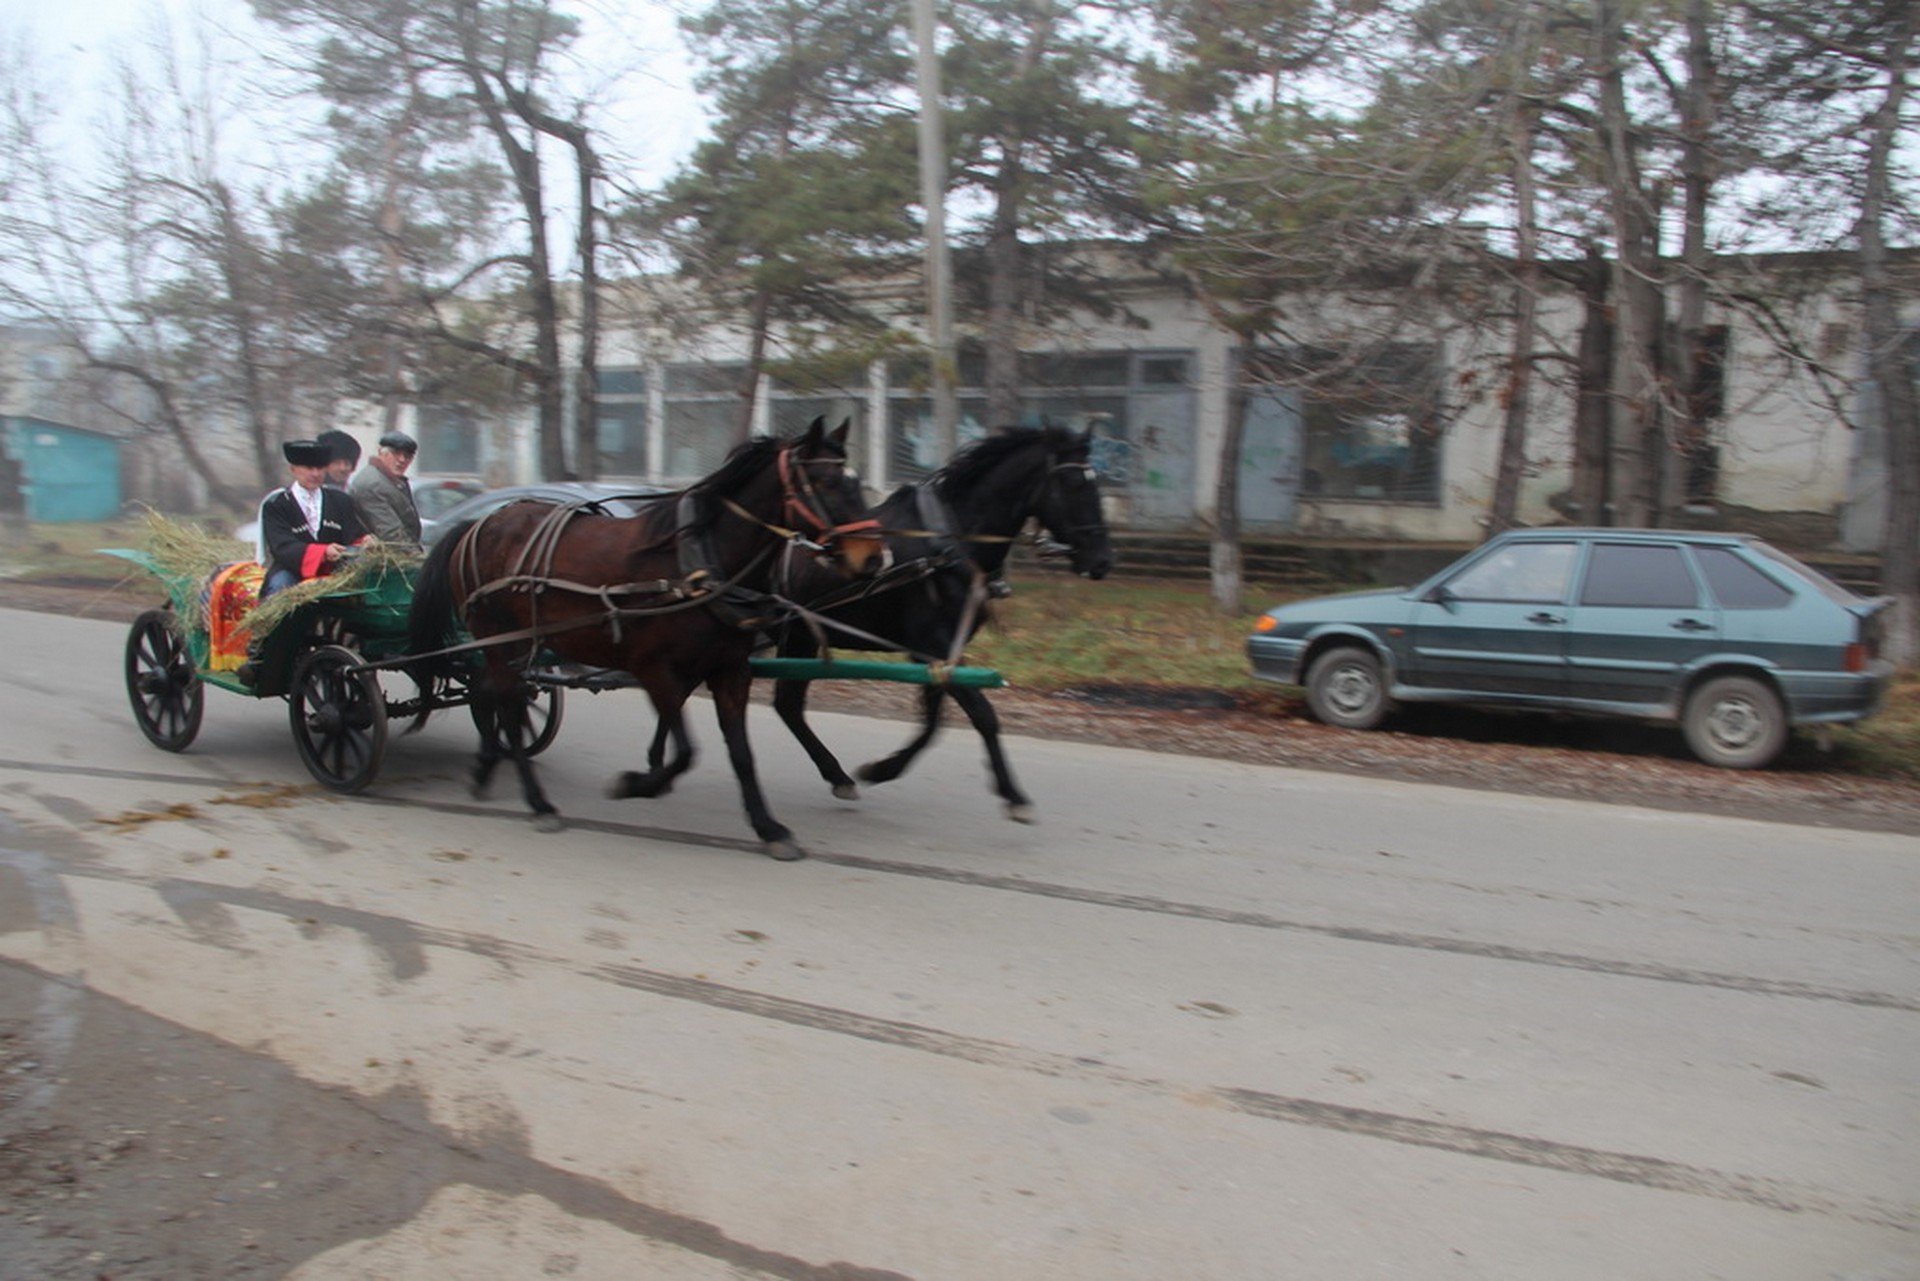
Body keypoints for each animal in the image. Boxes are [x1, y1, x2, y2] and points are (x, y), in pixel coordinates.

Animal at [412, 420, 883, 860]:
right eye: (825, 481)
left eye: (855, 481)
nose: (874, 557)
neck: (698, 562)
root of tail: (477, 524)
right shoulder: (654, 669)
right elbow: (685, 752)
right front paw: (634, 784)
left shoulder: (730, 669)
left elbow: (741, 754)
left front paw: (769, 828)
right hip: (496, 638)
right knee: (507, 706)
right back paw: (539, 803)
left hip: (509, 644)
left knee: (488, 694)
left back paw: (486, 768)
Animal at [721, 420, 1121, 821]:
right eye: (1074, 483)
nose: (1102, 560)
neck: (949, 545)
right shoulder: (933, 646)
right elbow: (982, 714)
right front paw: (1013, 795)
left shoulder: (937, 654)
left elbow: (932, 721)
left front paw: (883, 768)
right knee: (783, 703)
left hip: (800, 636)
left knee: (788, 705)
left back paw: (838, 776)